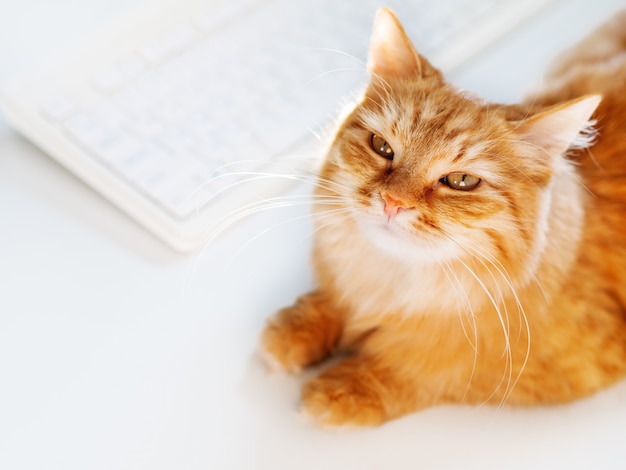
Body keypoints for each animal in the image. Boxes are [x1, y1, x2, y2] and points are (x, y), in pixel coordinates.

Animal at [260, 7, 624, 426]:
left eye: (460, 181)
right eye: (382, 147)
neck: (394, 283)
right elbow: (330, 301)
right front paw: (296, 329)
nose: (392, 201)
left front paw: (342, 389)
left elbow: (423, 371)